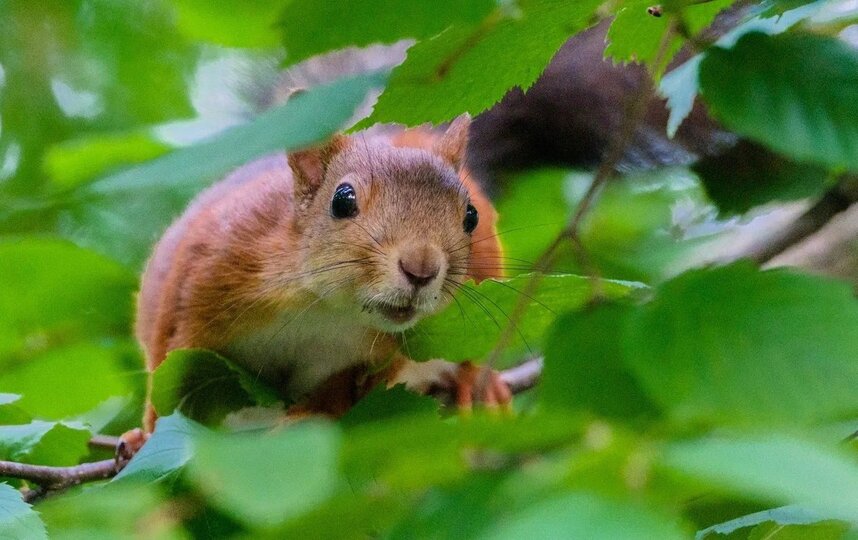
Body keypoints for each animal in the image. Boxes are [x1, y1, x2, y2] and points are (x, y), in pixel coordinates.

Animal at [133, 115, 508, 434]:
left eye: (471, 216)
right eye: (342, 201)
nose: (421, 268)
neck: (322, 306)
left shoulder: (367, 357)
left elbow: (343, 389)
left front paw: (307, 414)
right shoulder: (207, 270)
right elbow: (167, 366)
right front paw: (145, 436)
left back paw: (477, 382)